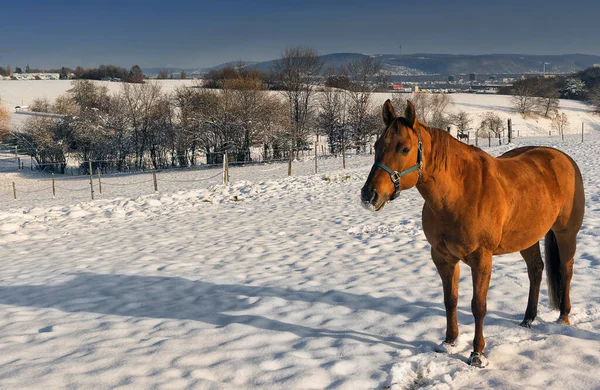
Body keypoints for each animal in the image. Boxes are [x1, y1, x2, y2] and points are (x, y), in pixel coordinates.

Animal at [364, 99, 584, 368]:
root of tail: (562, 158)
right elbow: (450, 300)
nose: (369, 195)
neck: (459, 192)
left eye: (404, 149)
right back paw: (527, 319)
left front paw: (477, 353)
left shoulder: (481, 259)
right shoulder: (443, 258)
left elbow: (478, 305)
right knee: (536, 270)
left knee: (566, 270)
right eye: (376, 145)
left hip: (566, 233)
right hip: (527, 238)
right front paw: (448, 342)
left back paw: (563, 316)